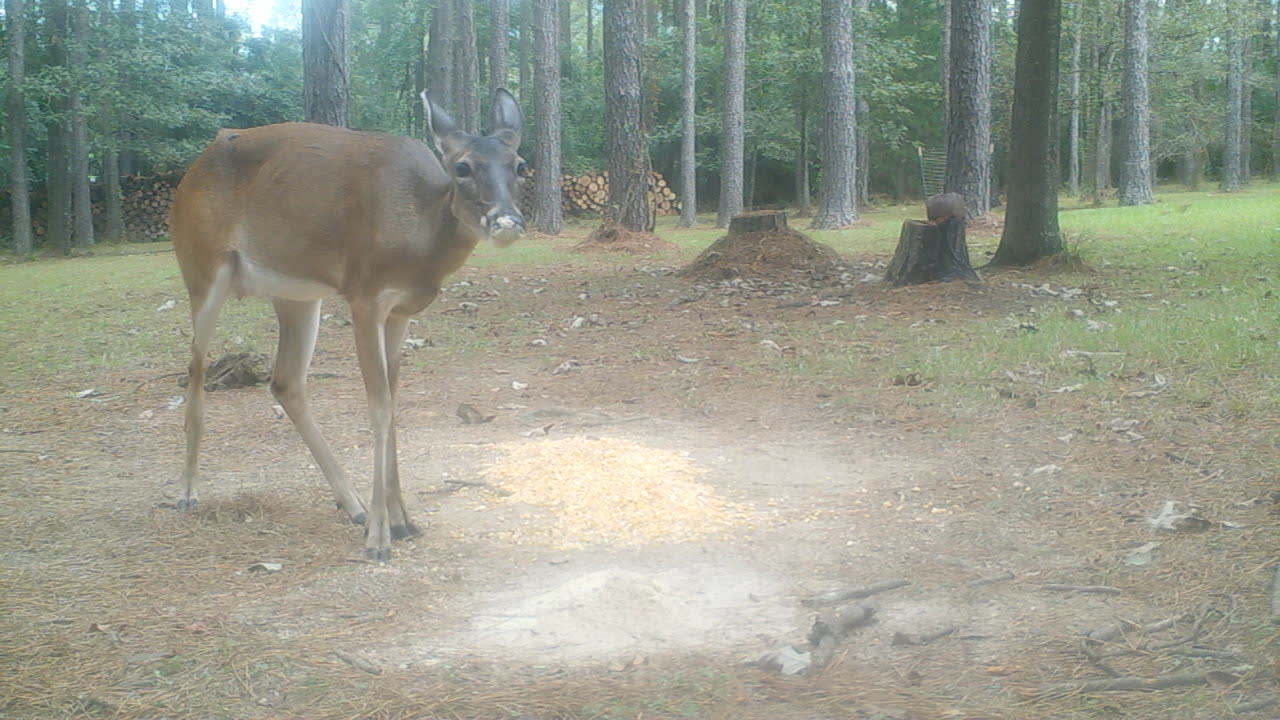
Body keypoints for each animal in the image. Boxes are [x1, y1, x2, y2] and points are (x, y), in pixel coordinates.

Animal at [172, 90, 527, 561]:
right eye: (463, 167)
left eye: (519, 164)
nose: (507, 221)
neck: (421, 239)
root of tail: (192, 169)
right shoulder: (365, 295)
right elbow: (378, 408)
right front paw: (380, 538)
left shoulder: (401, 312)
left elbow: (393, 407)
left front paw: (401, 521)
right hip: (201, 267)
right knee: (195, 371)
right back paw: (187, 492)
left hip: (297, 294)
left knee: (286, 381)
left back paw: (353, 505)